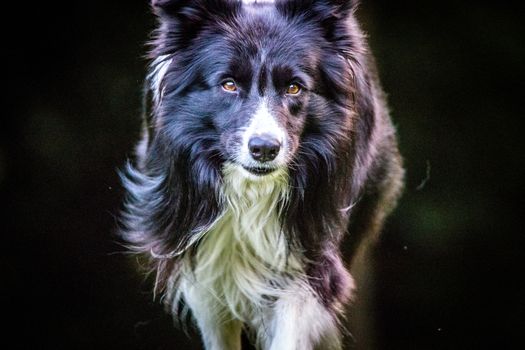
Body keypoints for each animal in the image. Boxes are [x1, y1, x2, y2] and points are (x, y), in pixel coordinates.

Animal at [121, 0, 404, 348]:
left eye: (294, 87)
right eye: (229, 84)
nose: (265, 148)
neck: (252, 188)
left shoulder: (309, 254)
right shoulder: (202, 258)